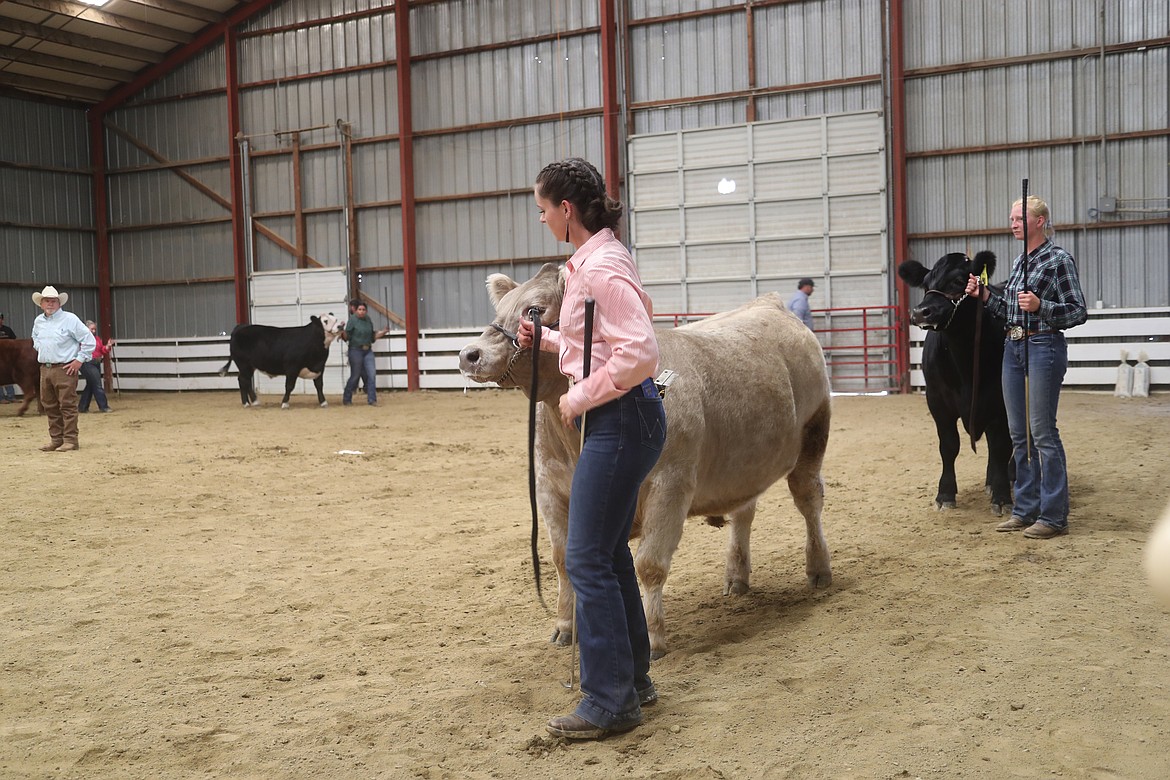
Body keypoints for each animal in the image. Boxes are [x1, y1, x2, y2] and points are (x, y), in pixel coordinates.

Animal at [456, 264, 833, 659]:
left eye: (535, 310)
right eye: (501, 310)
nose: (469, 354)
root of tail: (768, 303)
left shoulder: (671, 484)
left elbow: (649, 565)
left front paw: (652, 639)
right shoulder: (550, 491)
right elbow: (562, 561)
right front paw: (567, 627)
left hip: (814, 431)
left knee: (809, 500)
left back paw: (819, 570)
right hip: (745, 464)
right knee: (744, 512)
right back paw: (736, 577)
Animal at [898, 253, 1010, 514]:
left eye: (959, 280)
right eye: (925, 283)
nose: (921, 312)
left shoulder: (1001, 403)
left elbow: (1003, 446)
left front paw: (1002, 496)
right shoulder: (938, 402)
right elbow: (949, 446)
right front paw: (945, 493)